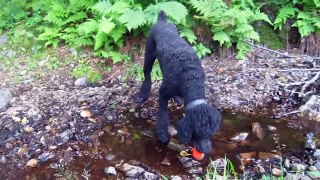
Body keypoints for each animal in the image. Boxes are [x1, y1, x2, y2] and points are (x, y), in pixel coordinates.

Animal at [134, 10, 221, 153]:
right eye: (197, 133)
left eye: (211, 133)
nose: (206, 150)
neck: (190, 79)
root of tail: (162, 20)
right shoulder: (163, 93)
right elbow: (163, 116)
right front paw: (162, 134)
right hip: (149, 55)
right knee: (147, 76)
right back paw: (142, 95)